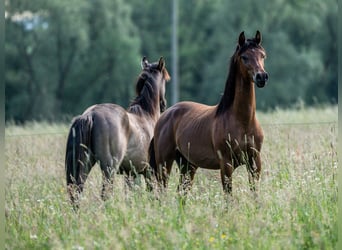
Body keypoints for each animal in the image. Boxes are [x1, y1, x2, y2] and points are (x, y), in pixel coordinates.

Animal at [65, 56, 170, 207]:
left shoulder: (131, 173)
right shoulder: (149, 172)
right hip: (109, 169)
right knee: (105, 194)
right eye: (165, 80)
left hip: (85, 164)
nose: (163, 105)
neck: (146, 115)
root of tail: (90, 114)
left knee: (77, 190)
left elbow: (131, 196)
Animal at [150, 31, 268, 198]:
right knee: (162, 191)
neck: (242, 121)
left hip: (188, 166)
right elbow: (228, 197)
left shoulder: (254, 163)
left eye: (263, 55)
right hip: (164, 164)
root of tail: (164, 117)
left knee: (181, 193)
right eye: (244, 57)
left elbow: (255, 194)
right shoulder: (226, 165)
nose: (261, 77)